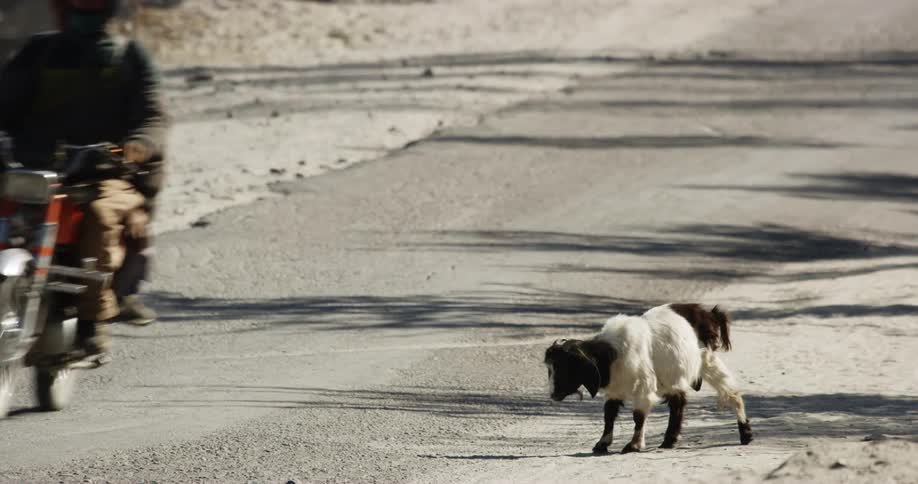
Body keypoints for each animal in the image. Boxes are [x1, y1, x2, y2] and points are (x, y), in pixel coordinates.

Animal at [544, 303, 753, 454]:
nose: (553, 394)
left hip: (706, 360)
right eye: (550, 368)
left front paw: (633, 445)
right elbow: (609, 414)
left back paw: (745, 433)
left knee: (730, 392)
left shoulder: (644, 387)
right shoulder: (614, 390)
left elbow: (638, 415)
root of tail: (707, 313)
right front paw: (601, 444)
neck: (613, 353)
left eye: (565, 367)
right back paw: (669, 441)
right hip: (674, 377)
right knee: (678, 402)